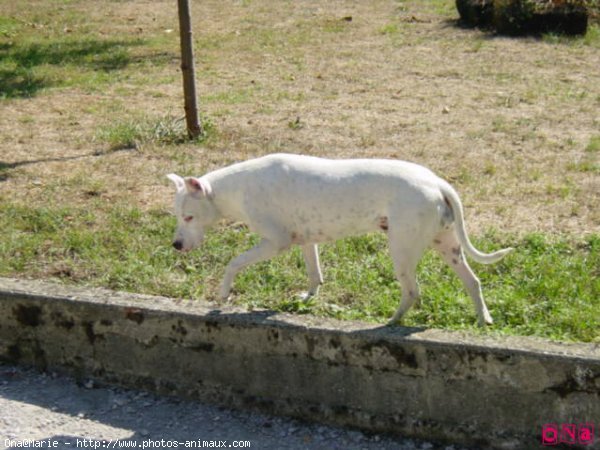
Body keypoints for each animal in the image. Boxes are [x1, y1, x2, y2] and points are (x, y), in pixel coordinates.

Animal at [168, 153, 510, 326]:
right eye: (177, 215)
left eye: (188, 217)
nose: (176, 246)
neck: (235, 188)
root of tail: (437, 182)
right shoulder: (306, 240)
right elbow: (314, 273)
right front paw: (307, 298)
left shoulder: (275, 242)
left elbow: (233, 262)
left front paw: (223, 294)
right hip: (447, 244)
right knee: (473, 281)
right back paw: (484, 319)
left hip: (402, 249)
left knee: (413, 291)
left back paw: (391, 322)